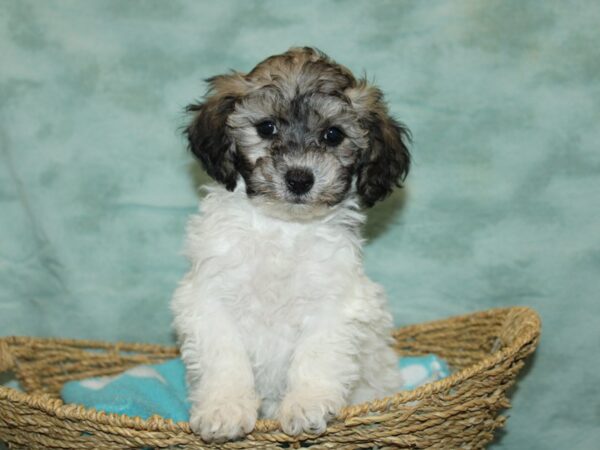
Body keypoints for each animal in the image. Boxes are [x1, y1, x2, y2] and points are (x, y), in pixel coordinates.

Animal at [171, 47, 410, 442]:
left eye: (333, 134)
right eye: (266, 128)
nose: (299, 178)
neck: (283, 228)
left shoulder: (334, 302)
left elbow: (316, 354)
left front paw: (305, 404)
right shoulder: (209, 296)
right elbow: (224, 355)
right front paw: (225, 408)